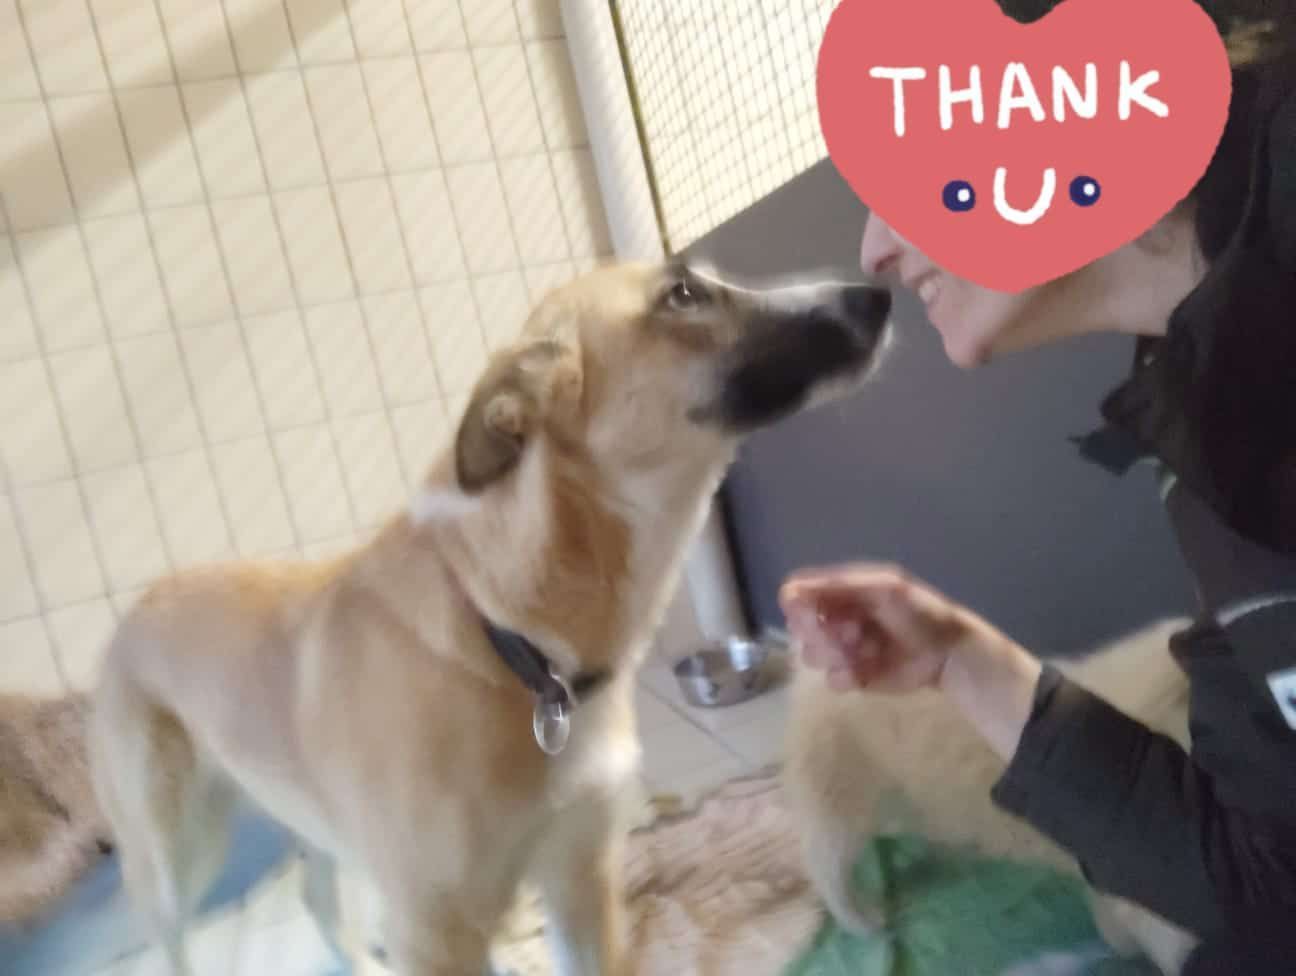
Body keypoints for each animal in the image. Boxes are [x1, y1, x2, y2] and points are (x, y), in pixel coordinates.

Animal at [88, 258, 893, 976]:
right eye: (684, 293)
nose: (876, 293)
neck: (506, 634)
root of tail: (134, 610)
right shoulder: (434, 934)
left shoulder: (579, 881)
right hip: (177, 859)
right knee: (171, 940)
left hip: (314, 829)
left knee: (318, 901)